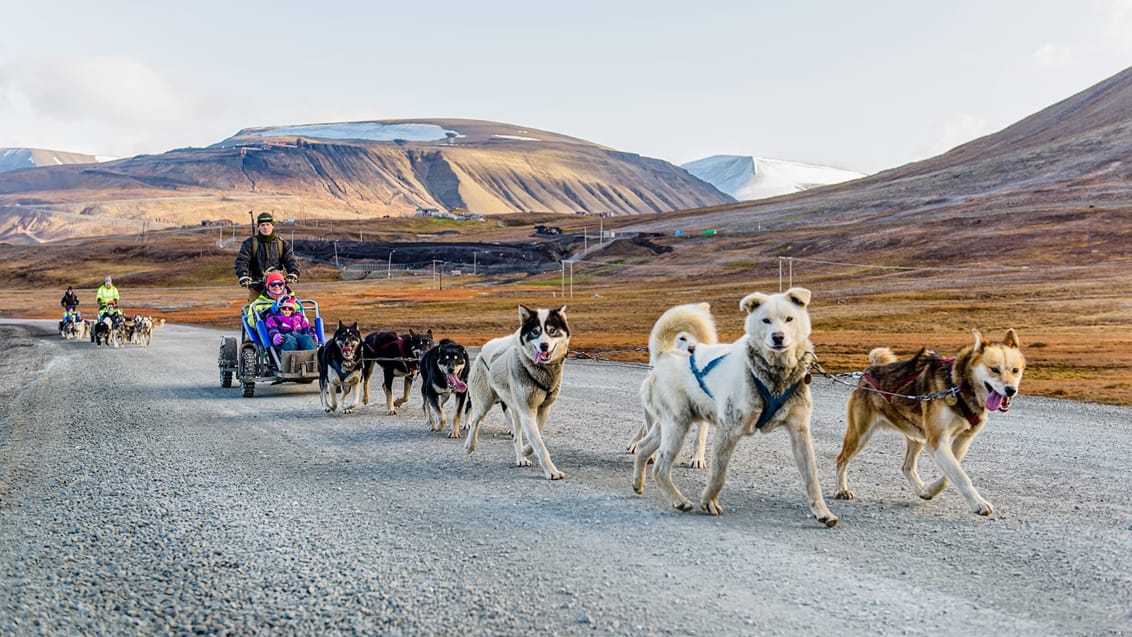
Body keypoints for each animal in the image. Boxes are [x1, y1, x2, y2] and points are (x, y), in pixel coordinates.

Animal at [464, 305, 570, 479]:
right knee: (475, 421)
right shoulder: (527, 411)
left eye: (552, 331)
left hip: (515, 411)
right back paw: (470, 444)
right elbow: (539, 445)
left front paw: (526, 450)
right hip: (485, 403)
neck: (540, 370)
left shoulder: (543, 409)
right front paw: (551, 471)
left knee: (516, 436)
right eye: (535, 332)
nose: (544, 346)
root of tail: (484, 349)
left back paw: (521, 457)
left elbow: (537, 436)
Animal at [633, 289, 837, 529]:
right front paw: (708, 502)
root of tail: (664, 355)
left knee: (644, 448)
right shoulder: (728, 430)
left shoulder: (799, 432)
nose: (778, 337)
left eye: (789, 318)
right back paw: (679, 500)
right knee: (660, 467)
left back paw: (638, 483)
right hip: (677, 427)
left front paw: (823, 512)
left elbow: (812, 478)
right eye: (765, 320)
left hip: (668, 426)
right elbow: (718, 475)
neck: (774, 376)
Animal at [833, 332, 1027, 515]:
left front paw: (929, 490)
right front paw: (978, 503)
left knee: (907, 467)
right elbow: (960, 476)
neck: (958, 385)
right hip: (860, 435)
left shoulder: (963, 439)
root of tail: (869, 371)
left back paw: (920, 488)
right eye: (994, 369)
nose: (1011, 390)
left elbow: (950, 475)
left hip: (917, 436)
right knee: (841, 459)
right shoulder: (937, 441)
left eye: (1015, 370)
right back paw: (841, 490)